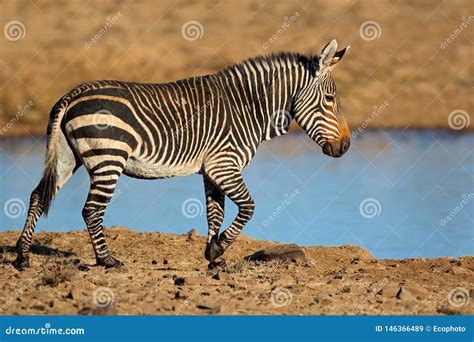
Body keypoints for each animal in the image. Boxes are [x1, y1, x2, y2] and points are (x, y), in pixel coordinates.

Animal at [13, 39, 352, 270]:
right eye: (330, 99)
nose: (347, 146)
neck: (248, 108)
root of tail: (73, 94)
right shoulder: (224, 164)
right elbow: (249, 207)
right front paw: (217, 251)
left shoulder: (212, 169)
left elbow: (216, 213)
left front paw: (213, 257)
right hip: (109, 159)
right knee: (91, 210)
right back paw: (107, 260)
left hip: (69, 156)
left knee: (38, 195)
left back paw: (22, 255)